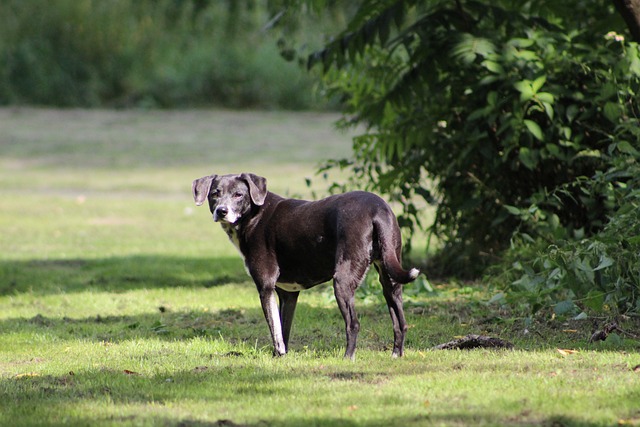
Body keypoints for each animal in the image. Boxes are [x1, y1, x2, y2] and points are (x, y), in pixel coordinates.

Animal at [191, 172, 420, 360]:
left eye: (238, 195)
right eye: (214, 194)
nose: (221, 211)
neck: (254, 215)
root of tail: (377, 208)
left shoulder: (265, 287)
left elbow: (274, 329)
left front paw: (278, 355)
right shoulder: (288, 294)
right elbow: (283, 329)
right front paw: (280, 358)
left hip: (342, 281)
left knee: (353, 323)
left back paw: (347, 358)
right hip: (390, 279)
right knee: (401, 322)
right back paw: (396, 354)